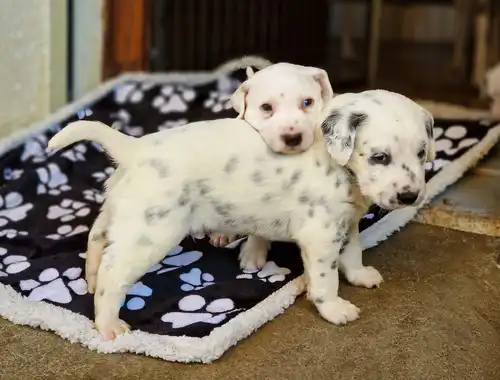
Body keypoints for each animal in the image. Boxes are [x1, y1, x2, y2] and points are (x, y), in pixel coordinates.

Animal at [48, 89, 436, 342]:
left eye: (421, 153)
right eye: (380, 157)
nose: (409, 196)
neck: (335, 162)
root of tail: (134, 147)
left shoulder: (347, 223)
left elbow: (352, 253)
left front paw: (360, 275)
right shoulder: (321, 235)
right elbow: (325, 279)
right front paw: (335, 309)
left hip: (122, 216)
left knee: (97, 242)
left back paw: (90, 280)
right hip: (151, 231)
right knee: (114, 272)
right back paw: (108, 324)